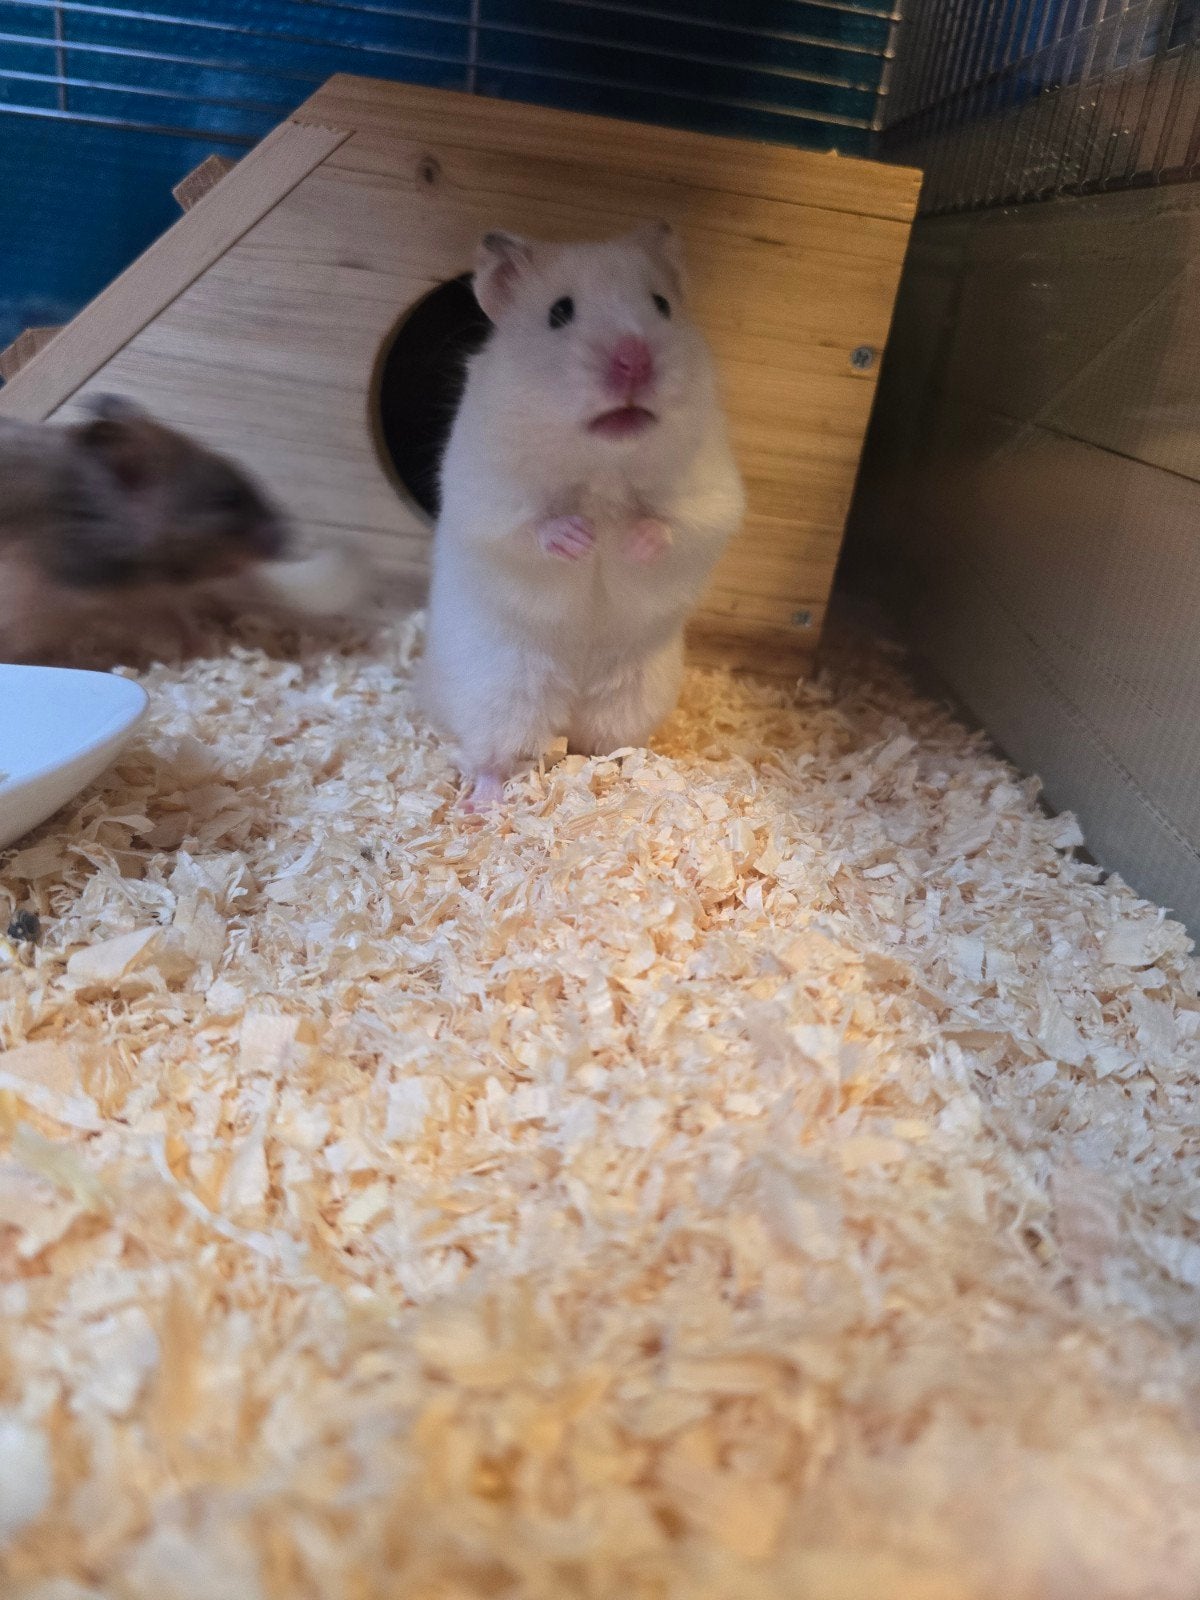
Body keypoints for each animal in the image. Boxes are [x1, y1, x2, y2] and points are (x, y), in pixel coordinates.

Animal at [419, 222, 745, 808]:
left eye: (662, 305)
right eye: (559, 312)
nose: (634, 359)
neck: (604, 463)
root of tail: (574, 696)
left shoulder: (712, 495)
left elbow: (677, 526)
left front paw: (627, 540)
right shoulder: (487, 493)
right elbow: (527, 526)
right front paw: (582, 537)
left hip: (633, 697)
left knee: (602, 748)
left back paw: (623, 776)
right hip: (502, 691)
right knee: (496, 754)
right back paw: (482, 804)